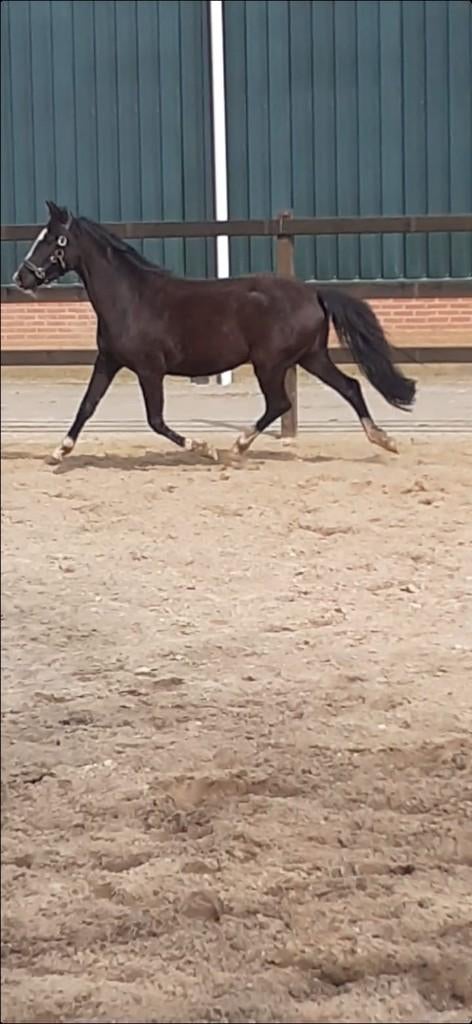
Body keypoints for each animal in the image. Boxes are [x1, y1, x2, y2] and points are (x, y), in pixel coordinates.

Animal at [13, 201, 416, 463]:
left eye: (54, 240)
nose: (21, 277)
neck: (131, 298)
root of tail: (314, 292)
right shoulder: (109, 360)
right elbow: (87, 405)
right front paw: (59, 451)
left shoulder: (149, 369)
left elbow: (155, 420)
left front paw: (204, 448)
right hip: (311, 357)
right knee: (351, 386)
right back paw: (385, 440)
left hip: (270, 363)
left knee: (280, 403)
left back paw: (237, 447)